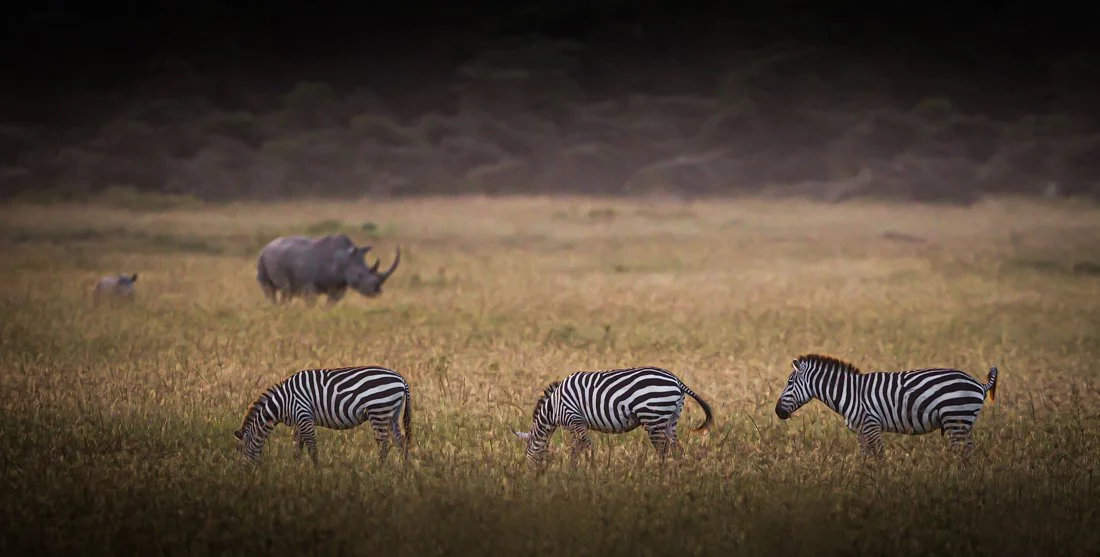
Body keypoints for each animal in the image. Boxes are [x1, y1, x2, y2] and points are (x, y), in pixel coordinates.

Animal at [233, 365, 412, 466]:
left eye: (240, 450)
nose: (243, 474)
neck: (282, 402)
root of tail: (401, 379)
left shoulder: (303, 415)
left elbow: (312, 448)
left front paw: (316, 471)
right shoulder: (298, 423)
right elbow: (297, 448)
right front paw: (295, 471)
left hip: (378, 410)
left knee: (383, 444)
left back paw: (378, 470)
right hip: (392, 414)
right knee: (400, 441)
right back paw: (403, 471)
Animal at [511, 366, 714, 470]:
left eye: (527, 454)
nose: (531, 479)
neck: (553, 408)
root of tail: (677, 380)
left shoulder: (574, 418)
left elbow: (585, 447)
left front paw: (590, 469)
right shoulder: (577, 424)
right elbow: (576, 449)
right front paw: (574, 470)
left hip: (653, 417)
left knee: (663, 449)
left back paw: (660, 473)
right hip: (671, 419)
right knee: (676, 448)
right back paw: (677, 472)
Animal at [774, 354, 999, 457]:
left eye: (790, 382)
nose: (777, 412)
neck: (850, 392)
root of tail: (979, 383)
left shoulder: (871, 425)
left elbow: (879, 457)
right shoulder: (861, 431)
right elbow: (865, 458)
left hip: (956, 418)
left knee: (965, 454)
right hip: (962, 422)